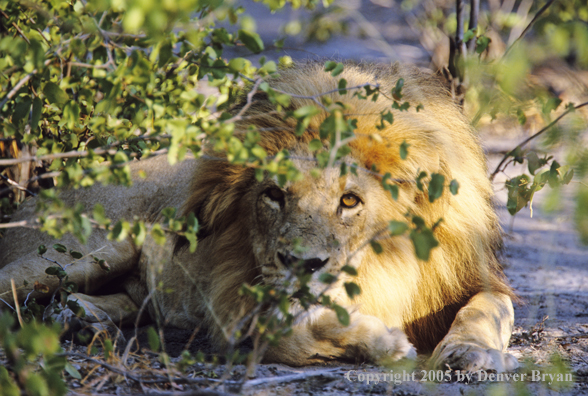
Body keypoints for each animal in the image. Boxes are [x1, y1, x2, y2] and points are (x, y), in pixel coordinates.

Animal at [0, 61, 520, 372]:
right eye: (273, 195)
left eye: (350, 201)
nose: (301, 265)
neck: (386, 267)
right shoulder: (233, 305)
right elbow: (291, 328)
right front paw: (382, 341)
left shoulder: (467, 277)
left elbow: (489, 308)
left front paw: (468, 352)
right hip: (86, 251)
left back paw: (82, 317)